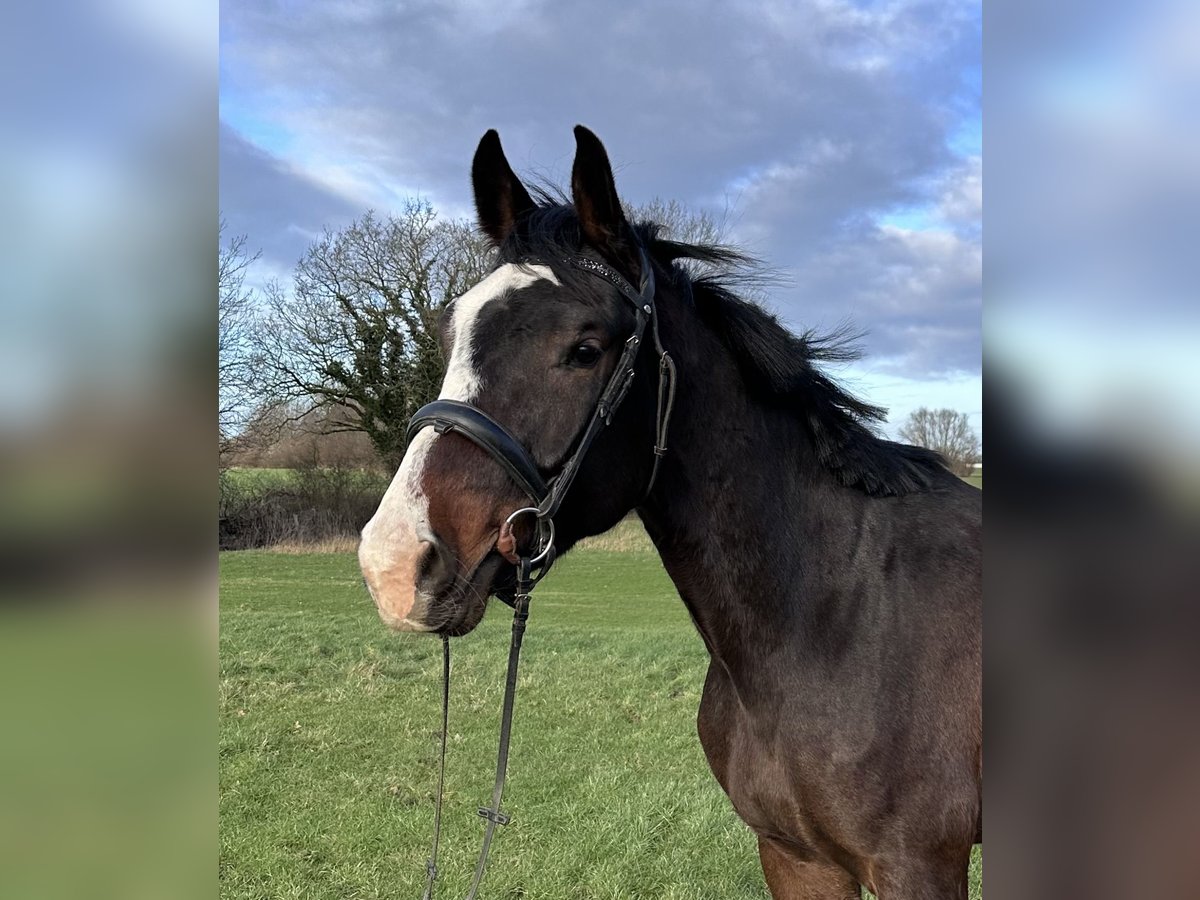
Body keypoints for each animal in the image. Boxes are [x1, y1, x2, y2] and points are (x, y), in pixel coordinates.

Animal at [360, 127, 979, 900]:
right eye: (451, 335)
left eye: (585, 349)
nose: (393, 562)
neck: (832, 618)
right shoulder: (795, 856)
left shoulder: (917, 867)